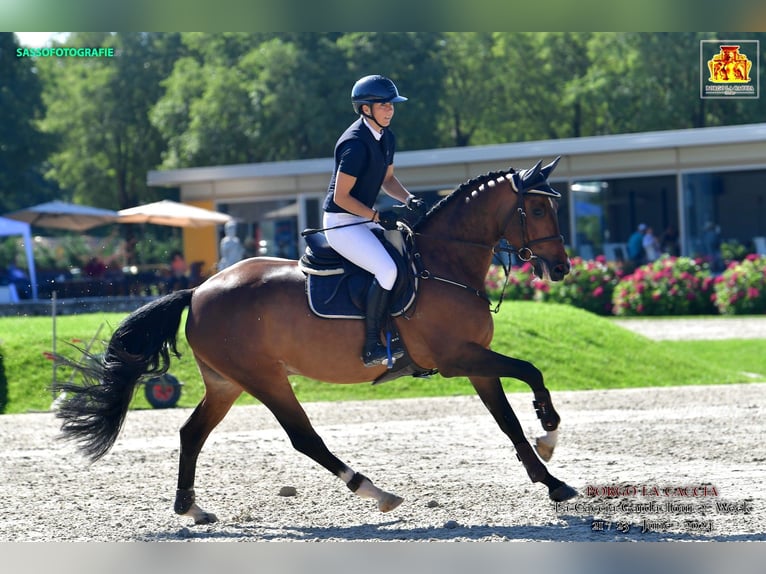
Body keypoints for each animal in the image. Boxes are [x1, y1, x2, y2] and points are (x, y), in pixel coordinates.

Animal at [54, 158, 580, 528]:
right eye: (537, 208)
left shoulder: (473, 363)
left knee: (191, 433)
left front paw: (551, 478)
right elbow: (530, 372)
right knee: (303, 436)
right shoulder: (457, 357)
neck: (444, 264)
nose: (560, 268)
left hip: (226, 382)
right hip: (264, 377)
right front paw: (550, 431)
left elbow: (508, 422)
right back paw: (374, 491)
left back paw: (191, 509)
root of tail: (199, 290)